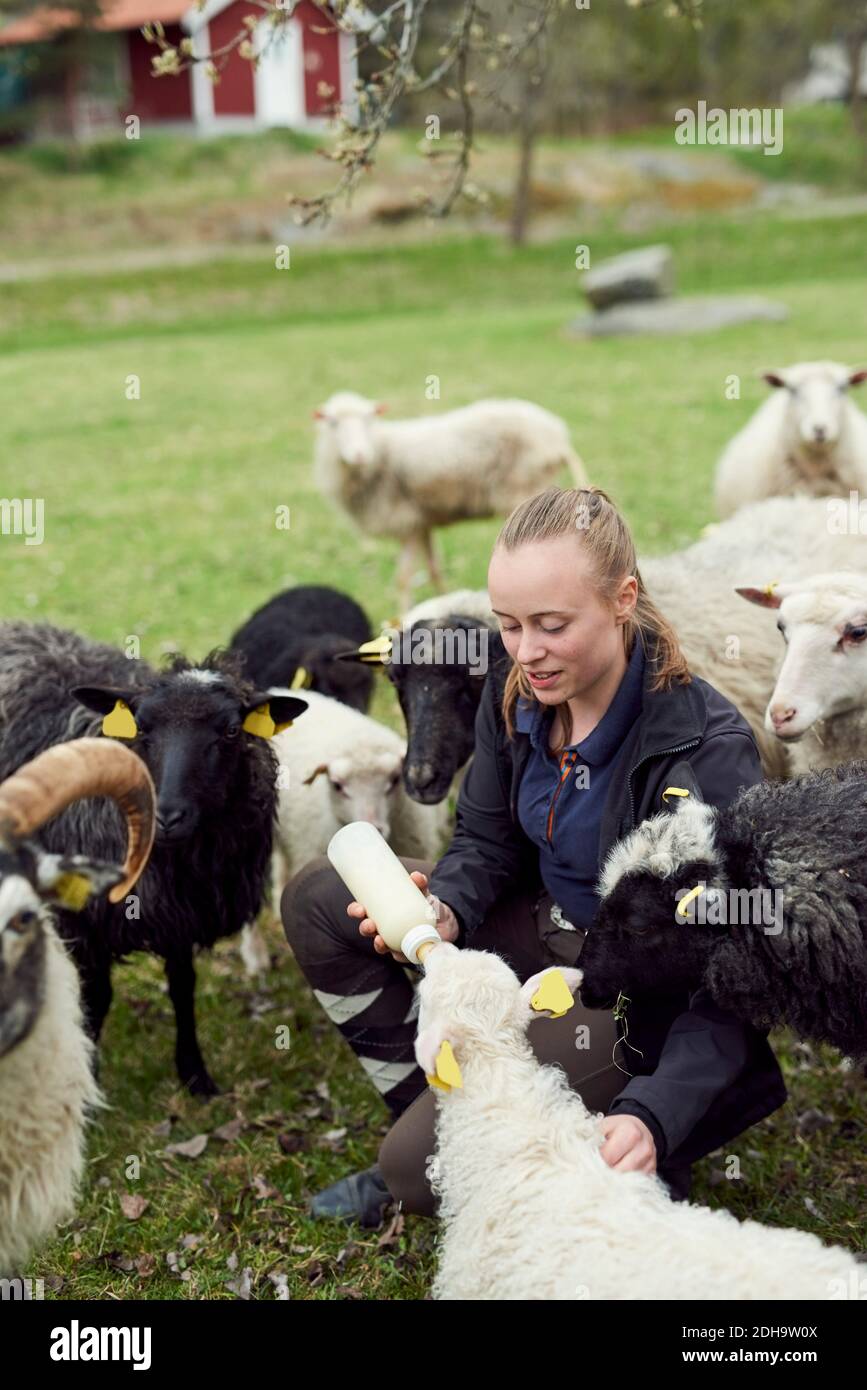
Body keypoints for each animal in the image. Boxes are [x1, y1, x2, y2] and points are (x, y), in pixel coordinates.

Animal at [0, 622, 308, 1095]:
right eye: (142, 727)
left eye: (231, 731)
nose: (167, 817)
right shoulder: (85, 920)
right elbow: (96, 1000)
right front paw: (90, 1078)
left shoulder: (181, 913)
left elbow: (182, 986)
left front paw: (195, 1075)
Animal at [315, 391, 586, 608]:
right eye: (332, 423)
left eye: (369, 419)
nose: (359, 455)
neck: (380, 452)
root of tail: (557, 437)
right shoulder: (421, 523)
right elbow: (434, 570)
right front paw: (444, 601)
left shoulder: (406, 522)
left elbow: (403, 579)